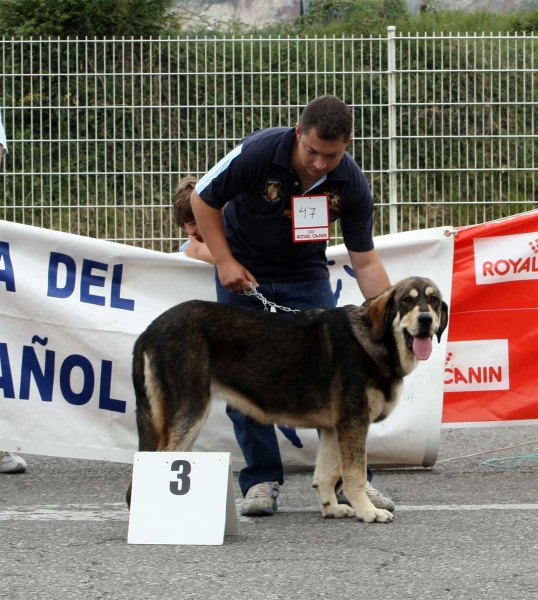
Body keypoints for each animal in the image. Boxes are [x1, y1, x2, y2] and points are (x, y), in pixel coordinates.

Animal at [125, 276, 444, 520]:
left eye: (434, 301)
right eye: (406, 302)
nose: (426, 319)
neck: (373, 339)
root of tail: (149, 331)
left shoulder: (334, 428)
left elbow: (326, 474)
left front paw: (331, 508)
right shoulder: (354, 422)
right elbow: (355, 475)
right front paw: (368, 512)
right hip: (190, 412)